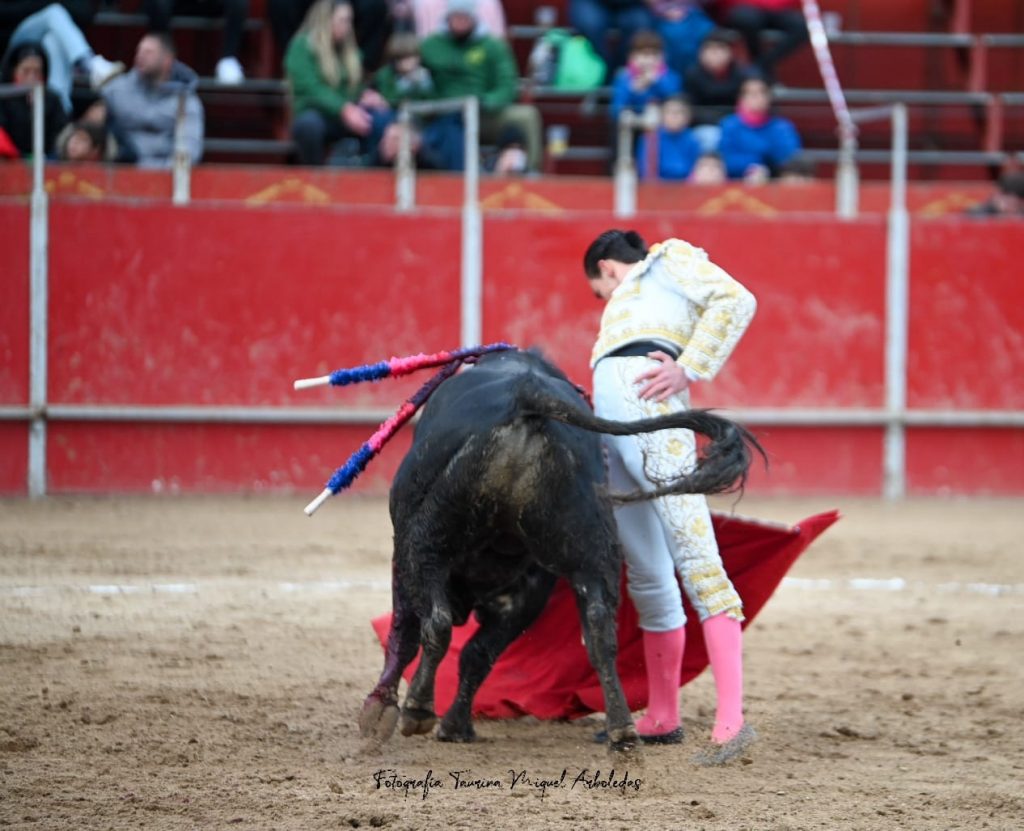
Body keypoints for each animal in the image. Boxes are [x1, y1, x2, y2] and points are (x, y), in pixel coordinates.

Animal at [360, 347, 761, 753]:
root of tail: (528, 397)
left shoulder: (408, 560)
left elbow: (408, 634)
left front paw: (381, 710)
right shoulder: (527, 591)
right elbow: (478, 653)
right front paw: (457, 726)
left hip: (426, 542)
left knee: (436, 622)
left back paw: (418, 710)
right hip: (589, 551)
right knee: (600, 633)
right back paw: (623, 730)